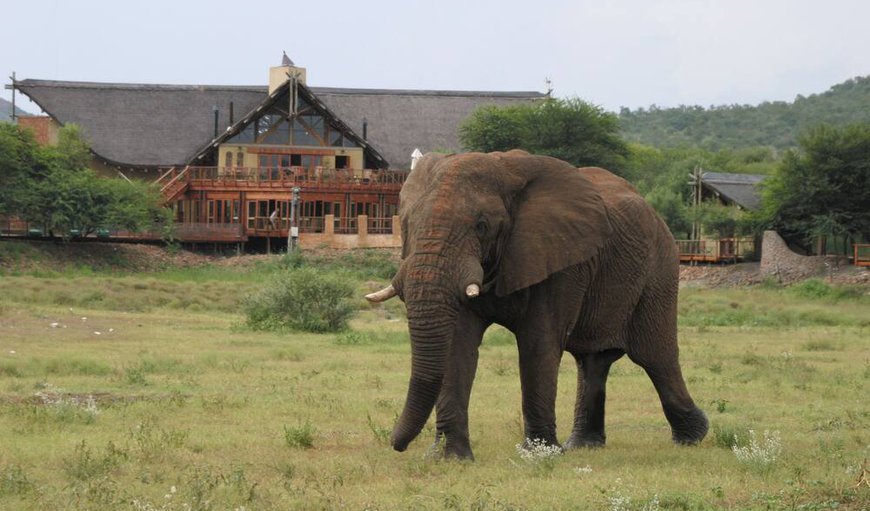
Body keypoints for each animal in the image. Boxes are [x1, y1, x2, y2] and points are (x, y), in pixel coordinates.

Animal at [364, 149, 712, 460]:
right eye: (407, 223)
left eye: (481, 225)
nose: (397, 445)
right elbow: (457, 345)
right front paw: (449, 459)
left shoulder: (561, 258)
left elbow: (538, 343)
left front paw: (539, 455)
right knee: (593, 362)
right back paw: (582, 446)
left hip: (660, 267)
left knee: (654, 355)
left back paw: (694, 437)